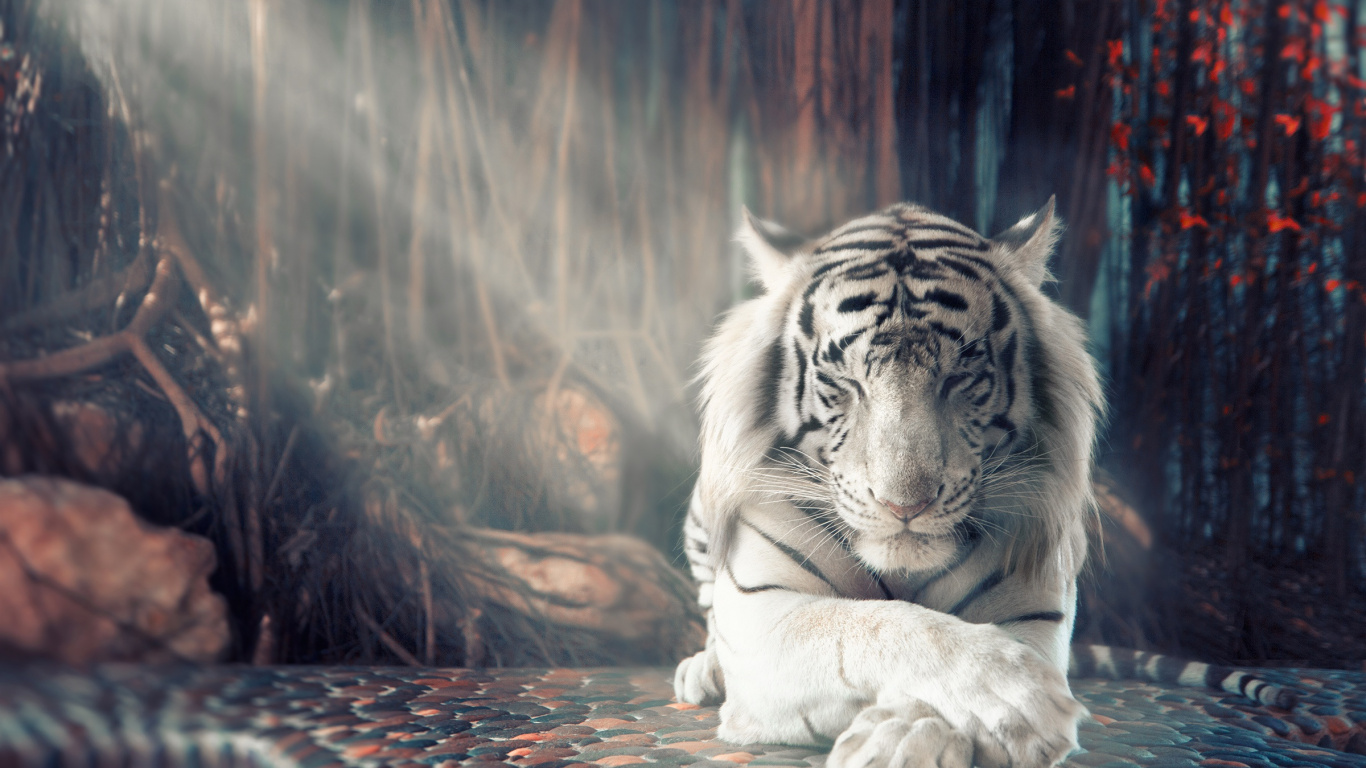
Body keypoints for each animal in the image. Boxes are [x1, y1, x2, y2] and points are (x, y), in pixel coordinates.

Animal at [672, 199, 1294, 768]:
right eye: (844, 381)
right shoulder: (764, 613)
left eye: (960, 376)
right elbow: (876, 625)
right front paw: (1015, 697)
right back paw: (702, 670)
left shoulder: (1035, 613)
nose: (904, 505)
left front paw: (904, 738)